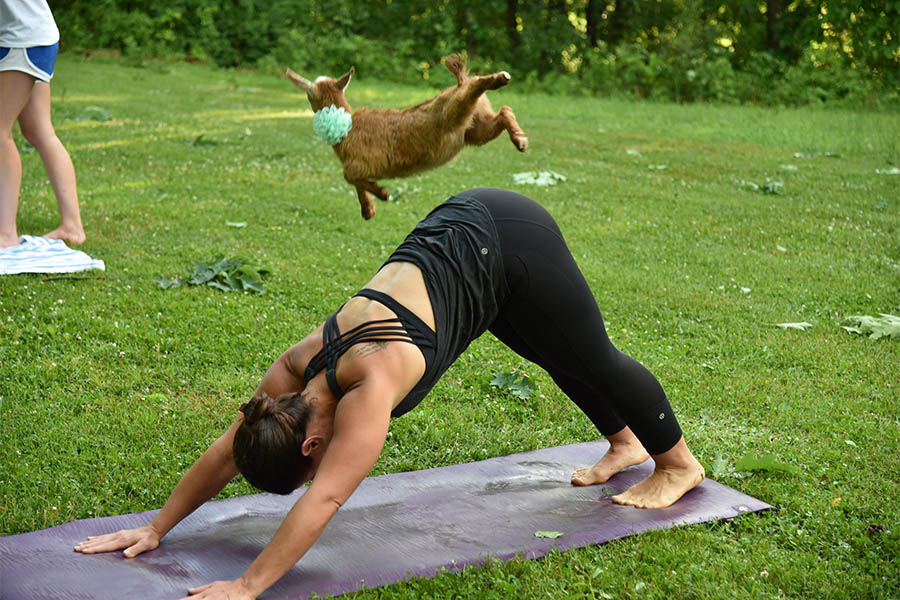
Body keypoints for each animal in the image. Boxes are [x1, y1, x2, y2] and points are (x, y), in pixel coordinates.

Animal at [286, 55, 528, 219]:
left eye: (308, 94)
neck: (346, 127)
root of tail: (460, 82)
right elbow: (354, 182)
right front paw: (368, 210)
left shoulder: (361, 162)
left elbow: (349, 177)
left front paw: (382, 194)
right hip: (474, 128)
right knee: (504, 112)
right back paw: (520, 139)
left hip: (453, 111)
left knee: (477, 86)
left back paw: (499, 79)